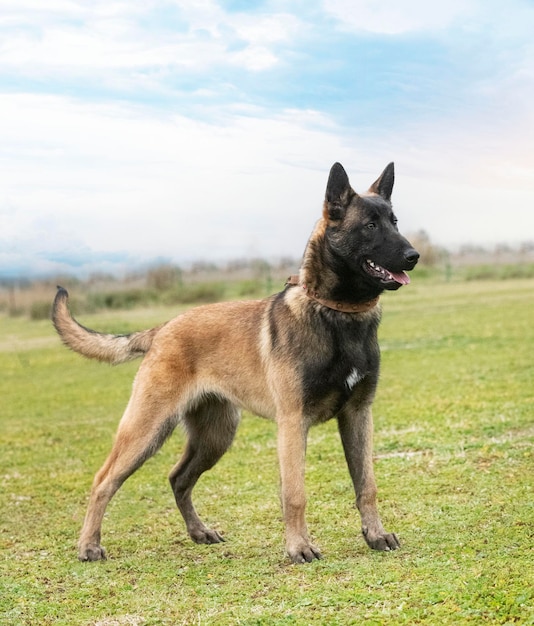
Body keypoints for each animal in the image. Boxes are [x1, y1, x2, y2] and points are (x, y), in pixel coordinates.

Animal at [52, 161, 420, 560]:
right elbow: (295, 493)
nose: (414, 256)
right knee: (104, 480)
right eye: (370, 226)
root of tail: (162, 329)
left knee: (178, 478)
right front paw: (299, 547)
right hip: (148, 430)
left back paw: (199, 532)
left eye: (394, 222)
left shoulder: (358, 415)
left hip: (216, 436)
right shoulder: (293, 423)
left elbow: (366, 485)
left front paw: (375, 535)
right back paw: (89, 545)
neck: (336, 313)